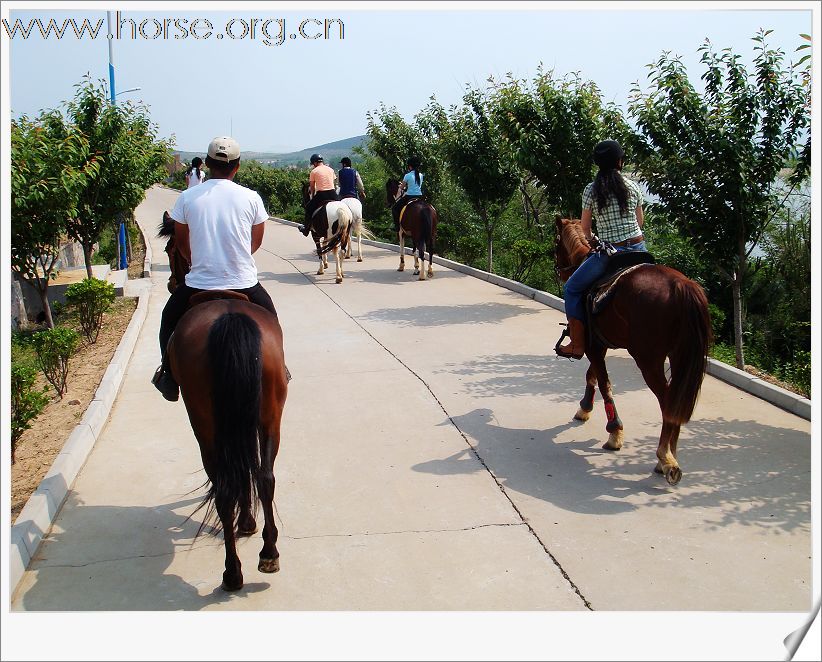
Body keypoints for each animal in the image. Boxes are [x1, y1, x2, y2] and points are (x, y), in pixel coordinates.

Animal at [552, 220, 716, 486]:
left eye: (556, 244)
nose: (559, 269)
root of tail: (681, 286)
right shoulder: (600, 343)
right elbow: (593, 376)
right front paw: (584, 409)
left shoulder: (592, 344)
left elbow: (604, 383)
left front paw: (614, 433)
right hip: (679, 354)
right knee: (675, 400)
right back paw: (670, 455)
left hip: (648, 359)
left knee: (667, 400)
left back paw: (664, 457)